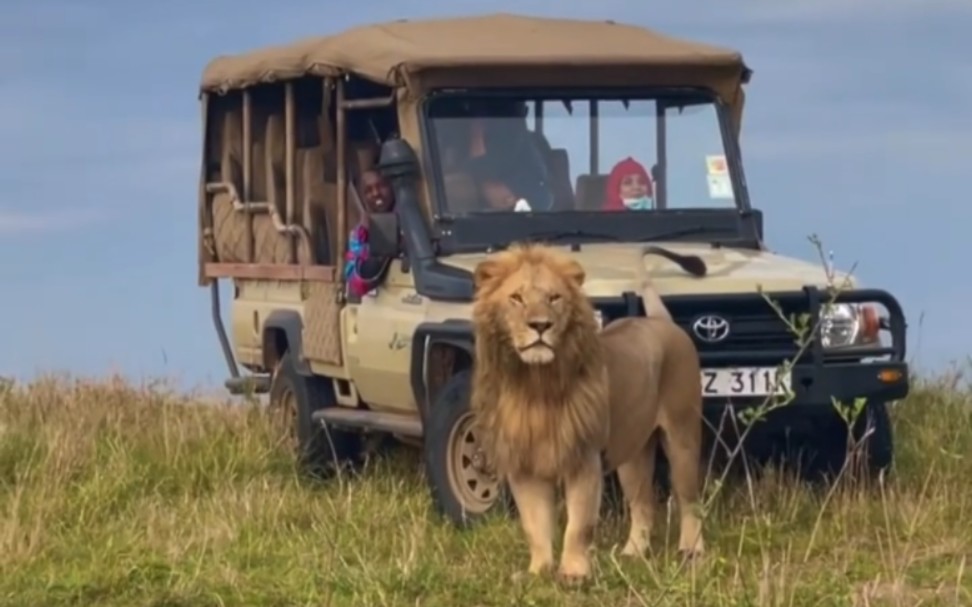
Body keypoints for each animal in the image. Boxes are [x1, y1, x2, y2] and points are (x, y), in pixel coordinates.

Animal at [468, 241, 704, 580]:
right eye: (516, 298)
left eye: (554, 298)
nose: (540, 325)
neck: (534, 384)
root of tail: (661, 320)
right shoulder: (524, 465)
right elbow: (534, 525)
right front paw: (538, 572)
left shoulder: (583, 458)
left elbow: (578, 525)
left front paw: (573, 574)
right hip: (633, 455)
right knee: (643, 504)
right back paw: (632, 554)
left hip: (682, 435)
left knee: (689, 500)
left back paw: (692, 551)